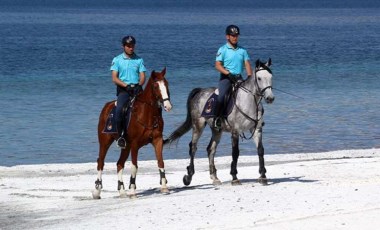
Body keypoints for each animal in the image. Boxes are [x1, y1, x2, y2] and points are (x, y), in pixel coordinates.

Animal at [93, 67, 173, 199]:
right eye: (156, 86)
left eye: (166, 84)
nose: (168, 106)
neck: (147, 113)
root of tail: (107, 107)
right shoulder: (135, 144)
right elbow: (134, 166)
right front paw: (132, 191)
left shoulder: (157, 140)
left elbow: (160, 162)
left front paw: (164, 187)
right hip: (105, 142)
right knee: (101, 163)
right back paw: (97, 191)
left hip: (126, 146)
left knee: (119, 164)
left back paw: (122, 191)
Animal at [163, 58, 274, 186]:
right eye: (259, 78)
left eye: (271, 77)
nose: (270, 98)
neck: (248, 102)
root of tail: (200, 91)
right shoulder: (235, 131)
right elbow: (235, 152)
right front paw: (234, 177)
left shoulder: (256, 129)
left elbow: (260, 150)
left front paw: (263, 176)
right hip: (198, 125)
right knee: (193, 147)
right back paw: (188, 177)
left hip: (216, 129)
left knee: (210, 149)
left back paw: (214, 177)